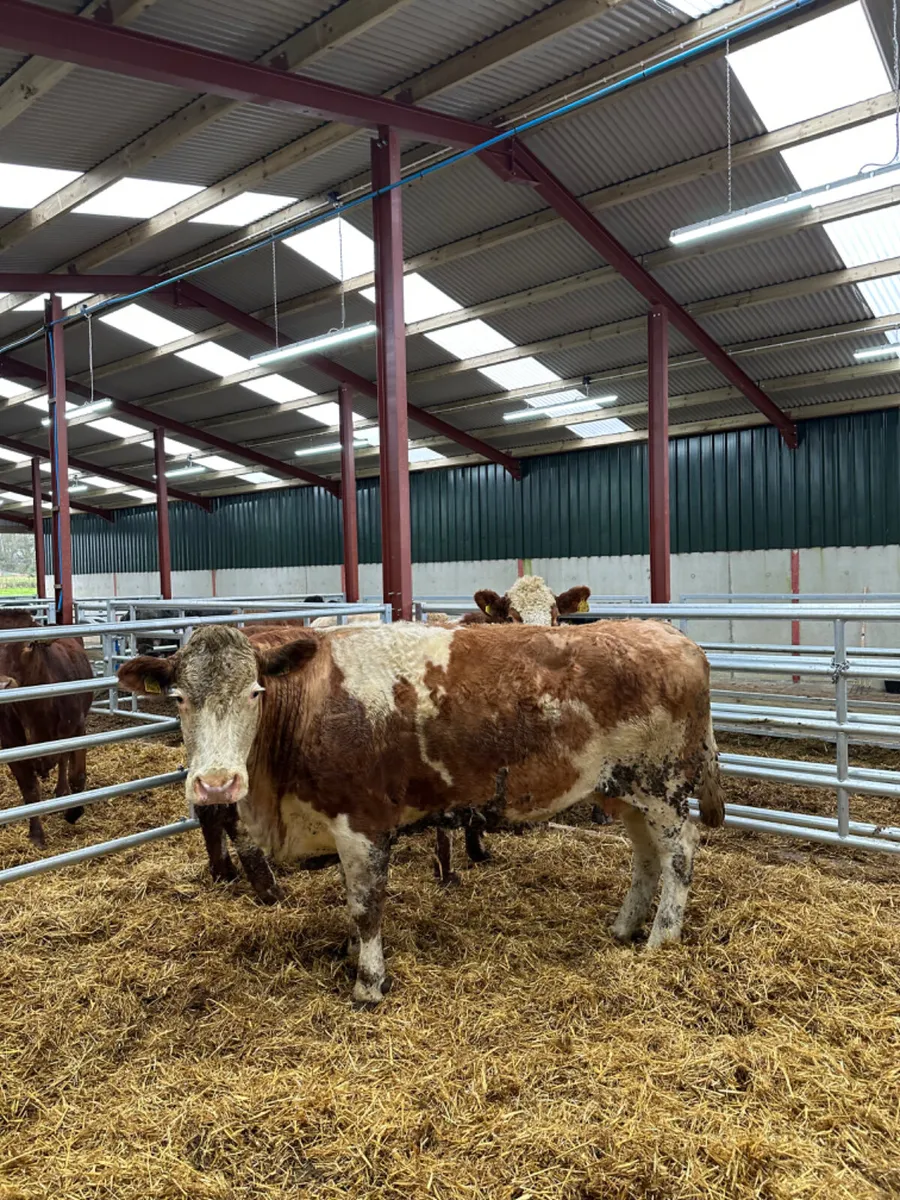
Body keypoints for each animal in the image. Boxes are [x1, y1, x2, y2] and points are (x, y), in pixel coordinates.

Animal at [0, 610, 93, 847]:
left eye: (29, 644)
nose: (3, 684)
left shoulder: (78, 729)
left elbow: (77, 775)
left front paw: (74, 812)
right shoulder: (11, 746)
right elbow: (30, 790)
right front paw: (36, 835)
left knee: (63, 761)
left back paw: (62, 793)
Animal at [119, 619, 724, 1005]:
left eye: (254, 691)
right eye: (179, 699)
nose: (217, 783)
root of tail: (671, 635)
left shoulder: (362, 824)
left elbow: (365, 907)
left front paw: (368, 985)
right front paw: (351, 956)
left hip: (662, 785)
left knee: (680, 852)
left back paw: (662, 936)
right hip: (622, 789)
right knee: (645, 856)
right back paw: (624, 926)